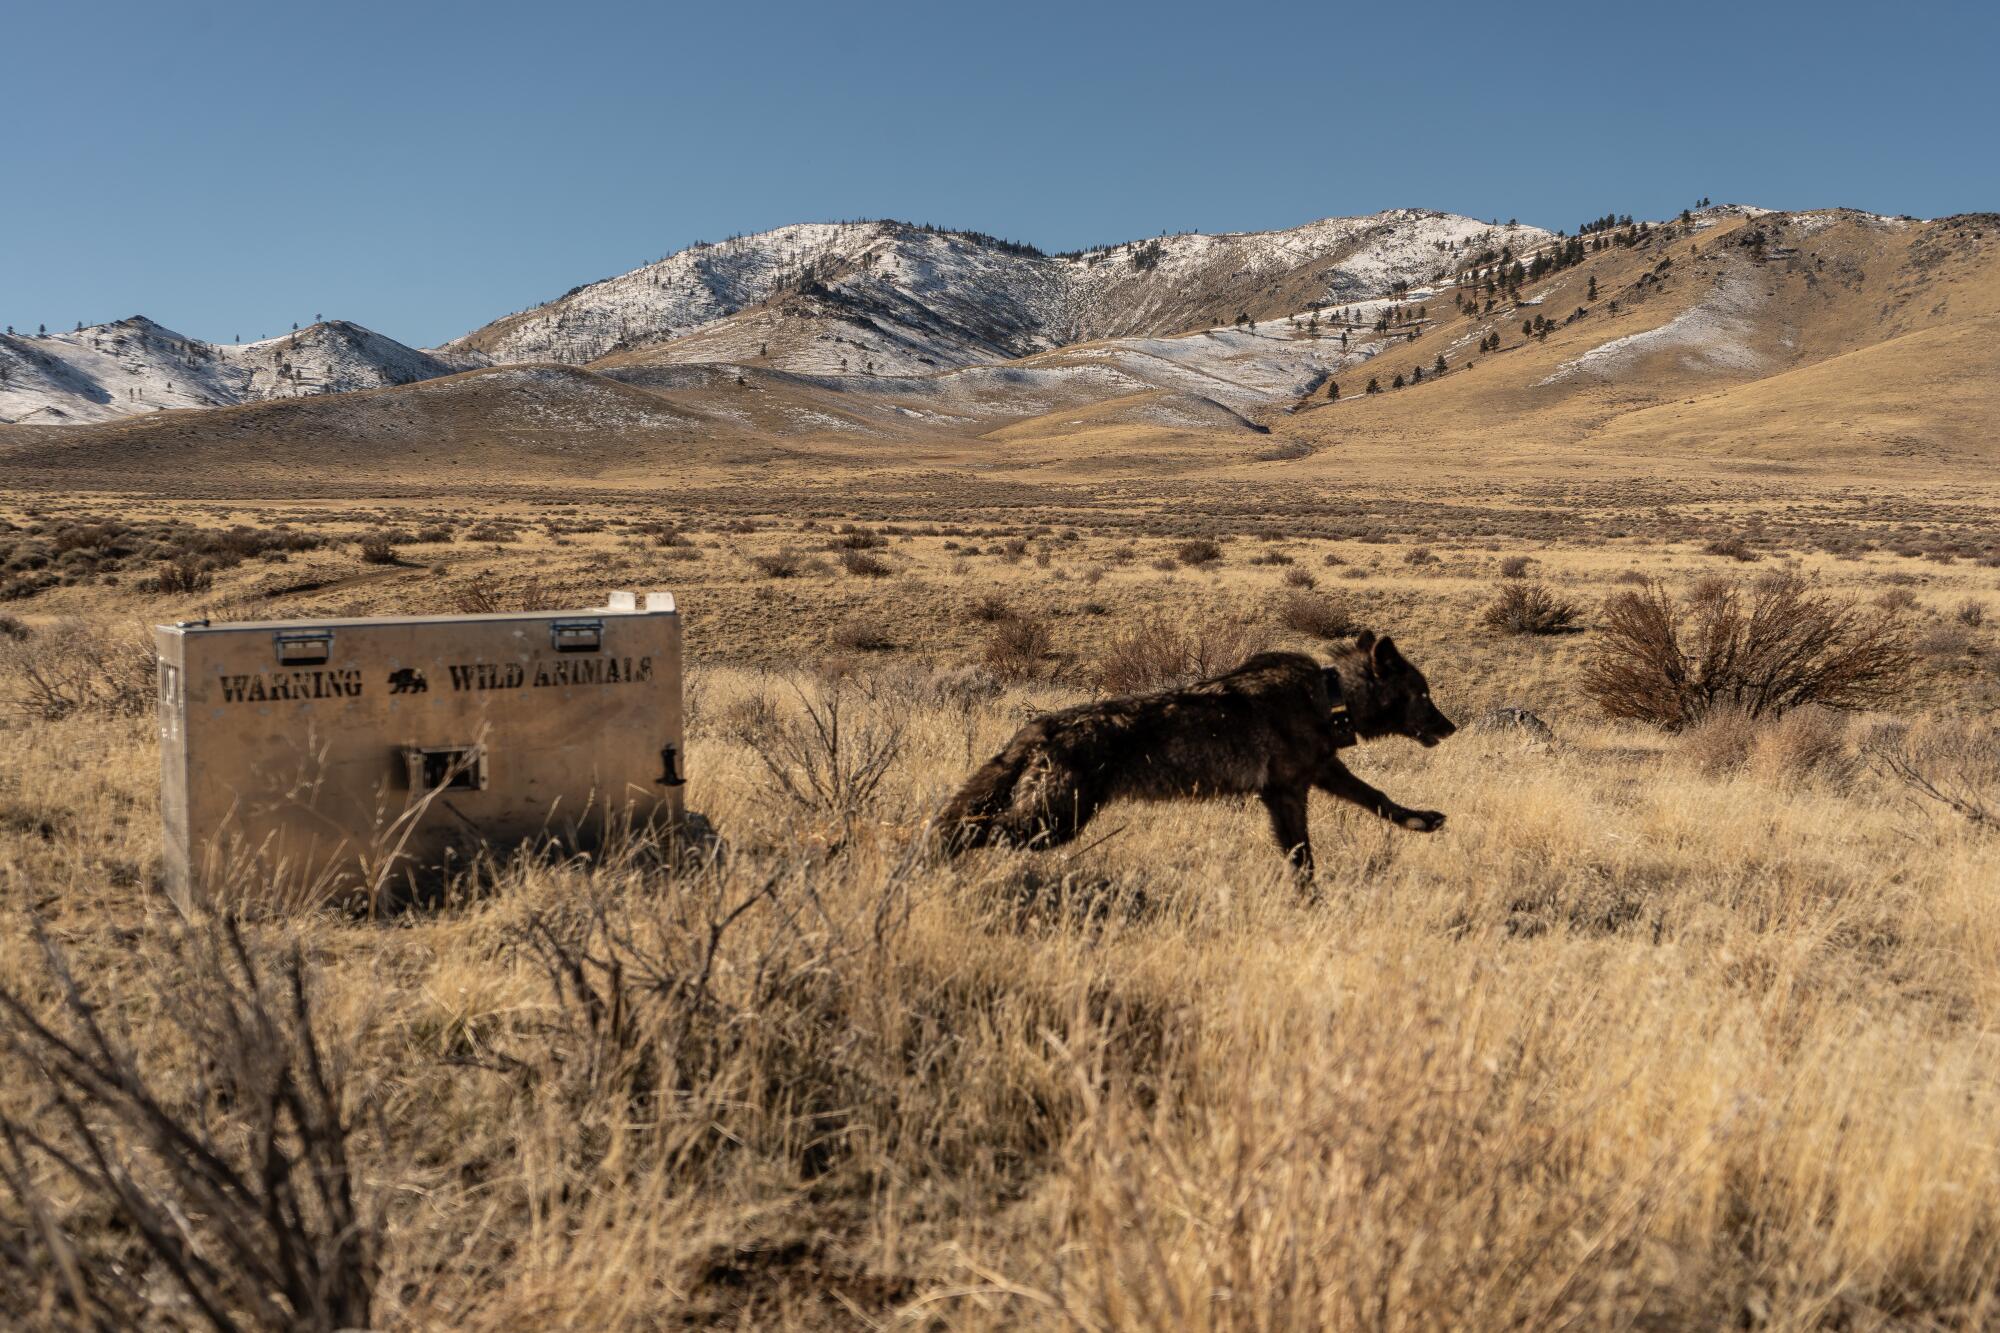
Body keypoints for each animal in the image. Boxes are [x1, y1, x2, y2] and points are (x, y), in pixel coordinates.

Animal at [935, 632, 1457, 878]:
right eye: (1424, 695)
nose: (1451, 727)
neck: (1329, 697)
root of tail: (1040, 727)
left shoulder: (1317, 775)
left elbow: (1378, 799)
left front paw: (1420, 820)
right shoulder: (1288, 793)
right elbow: (1303, 858)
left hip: (1050, 819)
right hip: (1054, 822)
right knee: (974, 830)